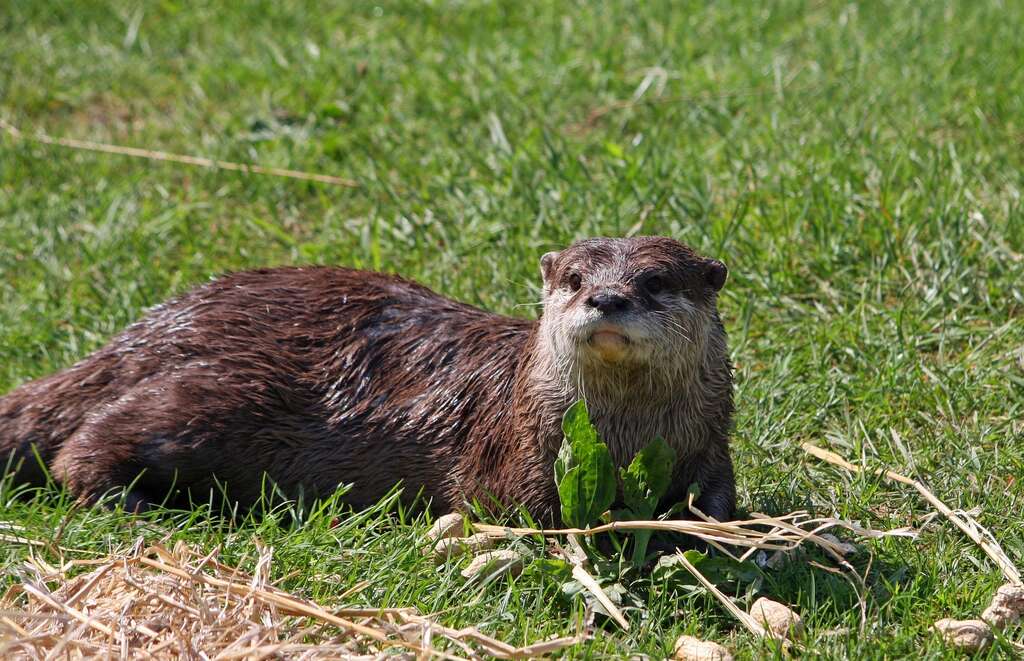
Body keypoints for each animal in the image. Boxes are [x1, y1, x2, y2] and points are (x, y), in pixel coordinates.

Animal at [0, 236, 735, 524]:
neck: (628, 435)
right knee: (85, 442)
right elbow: (513, 508)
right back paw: (133, 503)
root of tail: (154, 327)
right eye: (576, 278)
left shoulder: (709, 442)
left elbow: (718, 498)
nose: (607, 299)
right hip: (214, 393)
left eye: (655, 281)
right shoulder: (514, 448)